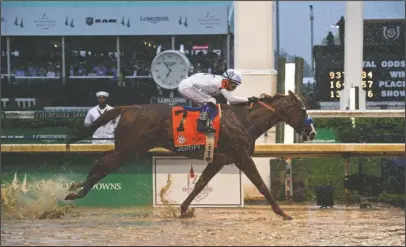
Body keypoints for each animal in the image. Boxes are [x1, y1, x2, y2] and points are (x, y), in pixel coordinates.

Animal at [65, 90, 316, 220]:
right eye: (303, 109)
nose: (312, 132)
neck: (243, 120)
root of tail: (129, 107)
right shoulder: (242, 156)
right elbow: (261, 184)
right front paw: (282, 213)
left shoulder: (218, 160)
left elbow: (199, 184)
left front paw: (184, 209)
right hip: (129, 149)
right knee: (102, 166)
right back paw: (75, 191)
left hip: (127, 148)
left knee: (101, 163)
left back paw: (75, 187)